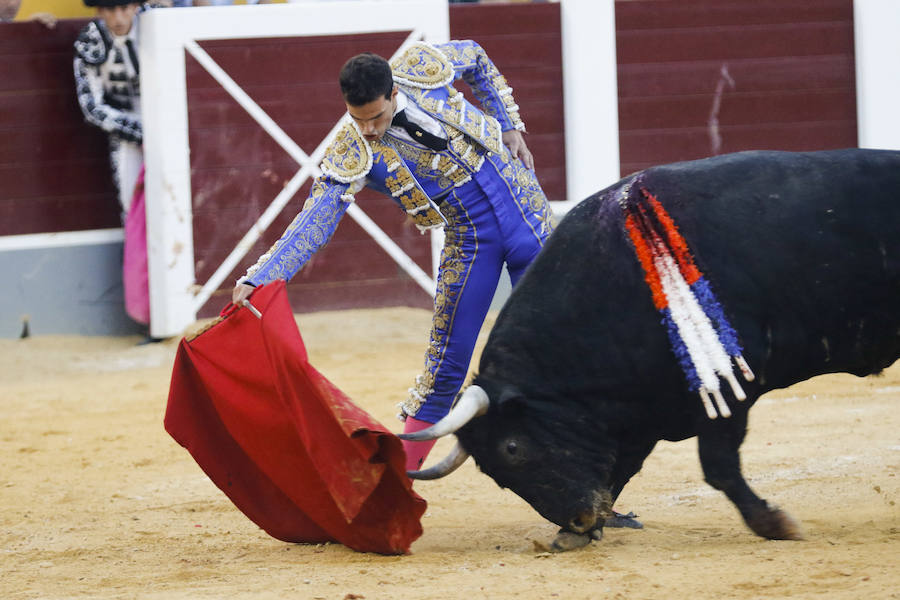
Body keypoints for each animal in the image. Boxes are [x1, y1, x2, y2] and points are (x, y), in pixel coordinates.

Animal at [404, 148, 900, 548]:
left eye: (512, 448)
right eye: (496, 478)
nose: (579, 518)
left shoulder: (724, 387)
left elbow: (717, 466)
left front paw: (774, 523)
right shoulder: (637, 409)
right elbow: (621, 466)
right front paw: (579, 532)